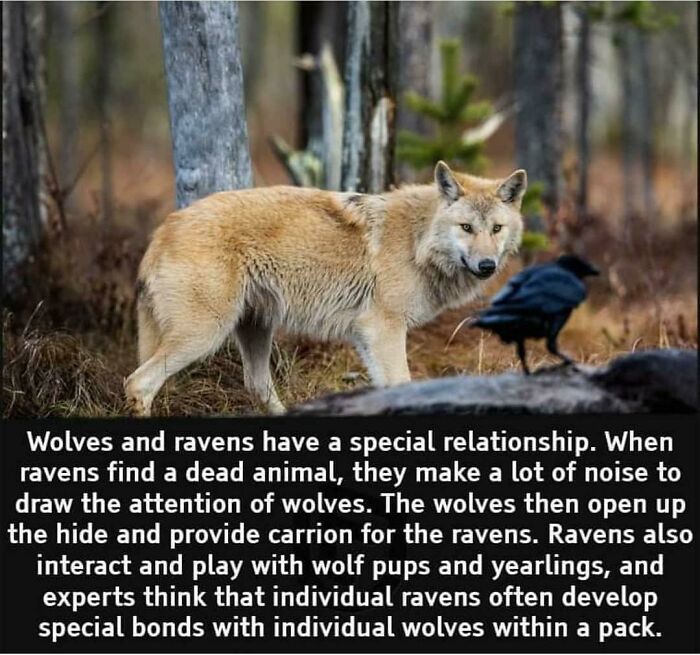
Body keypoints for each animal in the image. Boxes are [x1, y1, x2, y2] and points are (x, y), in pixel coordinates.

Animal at [125, 161, 526, 415]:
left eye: (496, 229)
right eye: (466, 228)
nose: (487, 266)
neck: (417, 241)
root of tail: (164, 229)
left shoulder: (367, 337)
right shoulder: (383, 330)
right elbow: (401, 384)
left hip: (255, 330)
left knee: (257, 387)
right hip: (204, 335)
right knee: (138, 383)